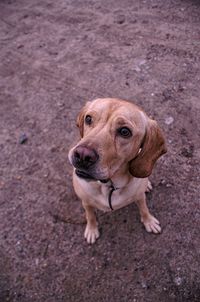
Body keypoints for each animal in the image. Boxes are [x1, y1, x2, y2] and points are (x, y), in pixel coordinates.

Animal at [68, 98, 166, 244]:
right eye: (88, 119)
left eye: (124, 131)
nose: (82, 155)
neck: (109, 186)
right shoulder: (86, 202)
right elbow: (90, 216)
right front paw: (91, 229)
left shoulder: (140, 196)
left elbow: (144, 209)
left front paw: (149, 221)